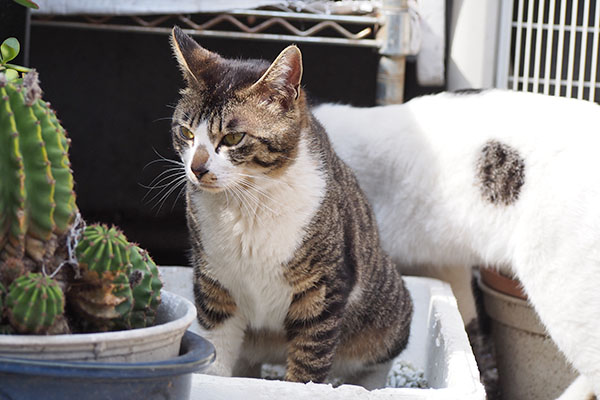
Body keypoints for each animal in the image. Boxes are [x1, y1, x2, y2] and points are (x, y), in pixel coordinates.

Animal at [168, 26, 412, 390]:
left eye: (233, 138)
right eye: (185, 133)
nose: (196, 168)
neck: (248, 203)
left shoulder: (322, 289)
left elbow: (308, 362)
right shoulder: (214, 283)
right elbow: (216, 349)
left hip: (386, 317)